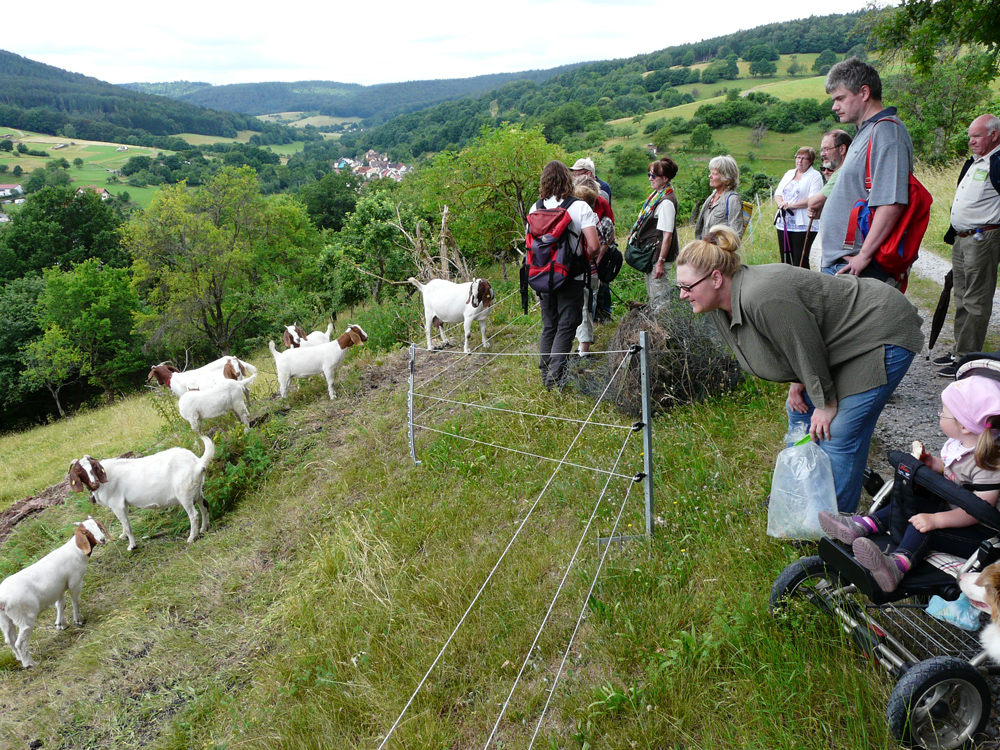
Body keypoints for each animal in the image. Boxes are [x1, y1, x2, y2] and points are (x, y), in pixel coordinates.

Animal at [0, 516, 109, 668]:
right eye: (86, 532)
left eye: (98, 526)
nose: (102, 539)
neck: (76, 551)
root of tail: (3, 599)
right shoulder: (75, 581)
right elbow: (75, 601)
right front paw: (78, 620)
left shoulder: (59, 587)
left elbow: (61, 604)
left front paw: (61, 624)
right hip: (25, 616)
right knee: (20, 642)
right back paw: (29, 664)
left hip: (4, 619)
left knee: (9, 639)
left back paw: (19, 659)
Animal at [68, 434, 215, 552]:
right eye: (79, 471)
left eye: (93, 467)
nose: (94, 483)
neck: (106, 478)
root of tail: (198, 462)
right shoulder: (122, 504)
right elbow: (123, 523)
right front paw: (122, 536)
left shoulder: (117, 504)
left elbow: (127, 525)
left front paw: (131, 546)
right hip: (196, 490)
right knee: (204, 506)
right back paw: (204, 528)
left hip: (184, 493)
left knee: (194, 515)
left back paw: (191, 538)